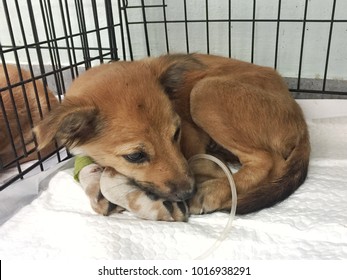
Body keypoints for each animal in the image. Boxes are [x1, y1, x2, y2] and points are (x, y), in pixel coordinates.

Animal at [34, 54, 312, 221]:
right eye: (135, 156)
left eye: (176, 133)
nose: (189, 191)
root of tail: (298, 116)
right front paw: (97, 189)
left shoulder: (192, 135)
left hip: (205, 92)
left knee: (267, 161)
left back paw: (215, 189)